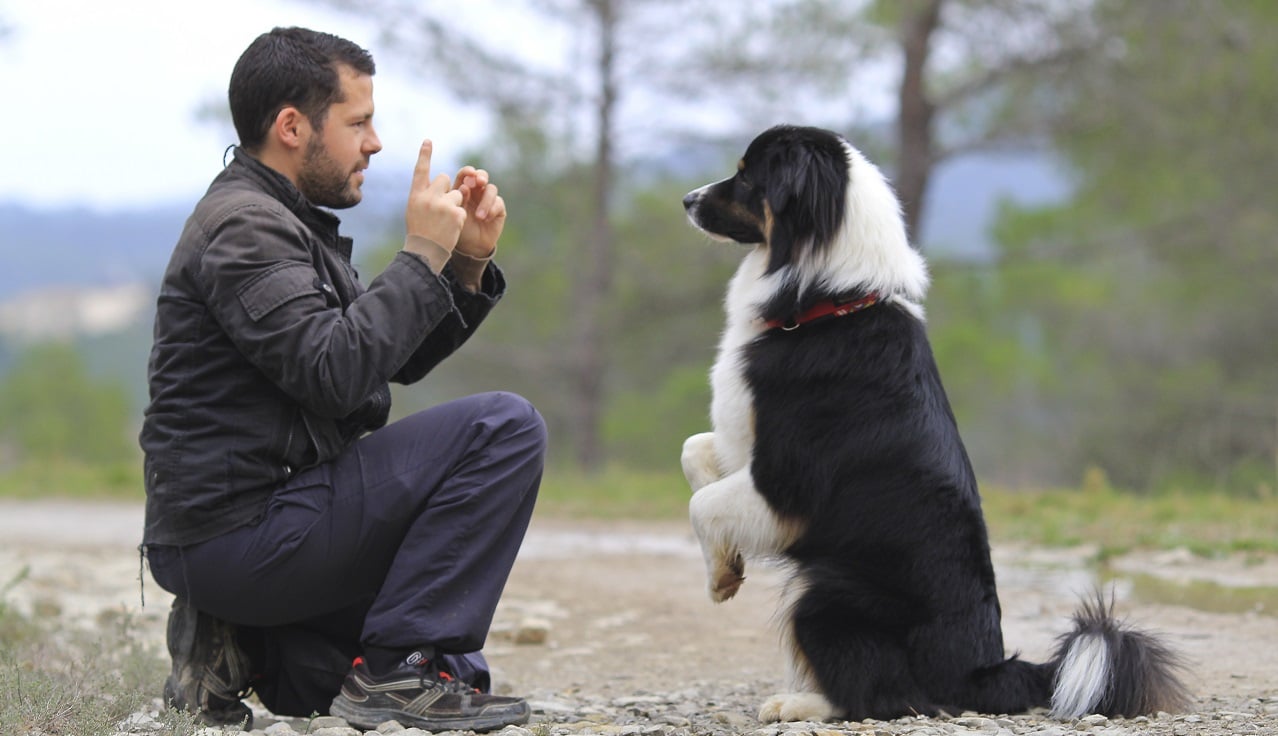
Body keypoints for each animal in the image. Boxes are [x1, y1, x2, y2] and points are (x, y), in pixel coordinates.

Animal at [679, 126, 1185, 725]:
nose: (686, 200)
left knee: (886, 698)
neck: (829, 300)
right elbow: (694, 453)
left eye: (746, 176)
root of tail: (981, 671)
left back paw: (799, 703)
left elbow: (703, 504)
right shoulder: (744, 446)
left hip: (825, 594)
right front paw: (727, 564)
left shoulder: (787, 481)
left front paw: (718, 580)